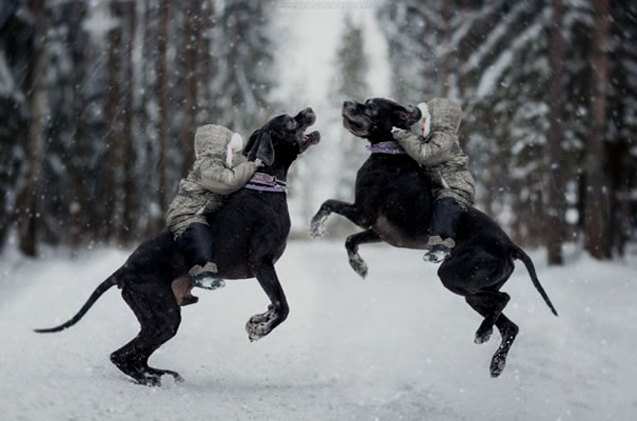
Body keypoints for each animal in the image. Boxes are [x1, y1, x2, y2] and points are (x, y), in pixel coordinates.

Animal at [37, 107, 320, 384]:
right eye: (290, 121)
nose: (308, 110)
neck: (264, 185)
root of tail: (124, 269)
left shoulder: (264, 269)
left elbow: (274, 305)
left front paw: (258, 321)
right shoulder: (261, 263)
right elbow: (283, 306)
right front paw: (261, 329)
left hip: (158, 317)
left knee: (134, 356)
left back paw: (161, 375)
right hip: (164, 314)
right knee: (122, 356)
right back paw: (153, 380)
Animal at [310, 97, 556, 378]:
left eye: (371, 106)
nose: (347, 102)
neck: (389, 153)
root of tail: (510, 245)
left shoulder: (362, 214)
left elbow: (328, 203)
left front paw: (316, 226)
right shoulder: (379, 232)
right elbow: (350, 240)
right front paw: (359, 266)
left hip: (455, 277)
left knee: (504, 299)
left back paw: (483, 333)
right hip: (474, 292)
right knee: (508, 324)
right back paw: (496, 361)